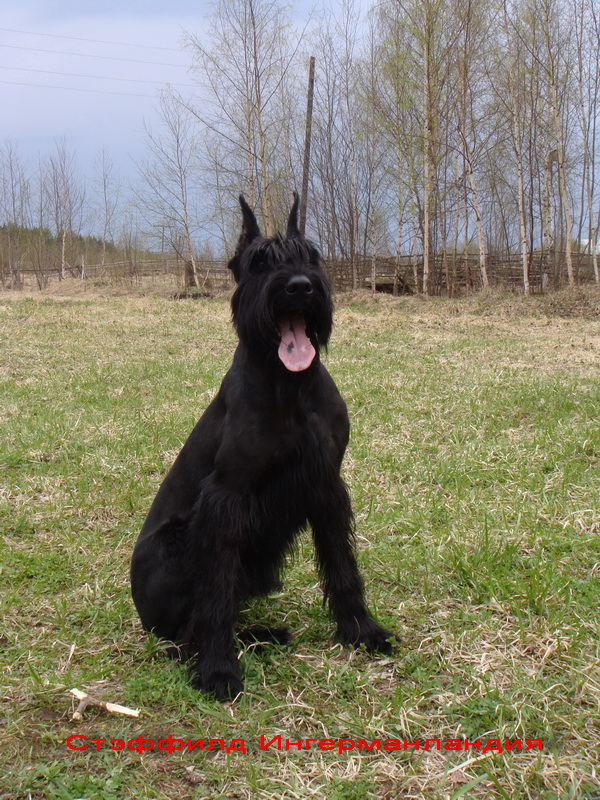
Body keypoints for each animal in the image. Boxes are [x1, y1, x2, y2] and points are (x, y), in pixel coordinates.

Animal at [130, 193, 393, 700]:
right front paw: (219, 671)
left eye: (311, 256)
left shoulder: (327, 484)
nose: (299, 287)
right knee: (188, 631)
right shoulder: (224, 501)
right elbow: (214, 595)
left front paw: (360, 630)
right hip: (176, 543)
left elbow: (342, 565)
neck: (290, 387)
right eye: (258, 263)